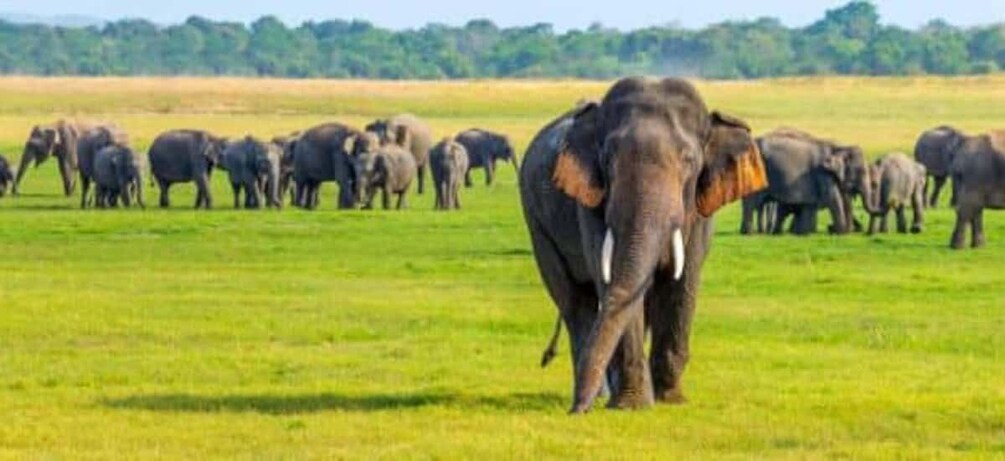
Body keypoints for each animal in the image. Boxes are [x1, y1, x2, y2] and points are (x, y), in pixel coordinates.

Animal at [520, 77, 767, 413]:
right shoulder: (591, 201)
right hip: (537, 223)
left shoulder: (699, 209)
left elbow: (682, 282)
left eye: (689, 161)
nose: (574, 412)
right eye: (607, 160)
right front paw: (633, 406)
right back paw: (599, 394)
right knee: (575, 300)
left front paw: (671, 400)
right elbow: (612, 281)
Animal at [741, 129, 877, 235]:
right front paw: (841, 233)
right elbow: (833, 199)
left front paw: (806, 233)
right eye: (860, 171)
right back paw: (751, 234)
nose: (830, 227)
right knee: (751, 202)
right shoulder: (823, 174)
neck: (839, 147)